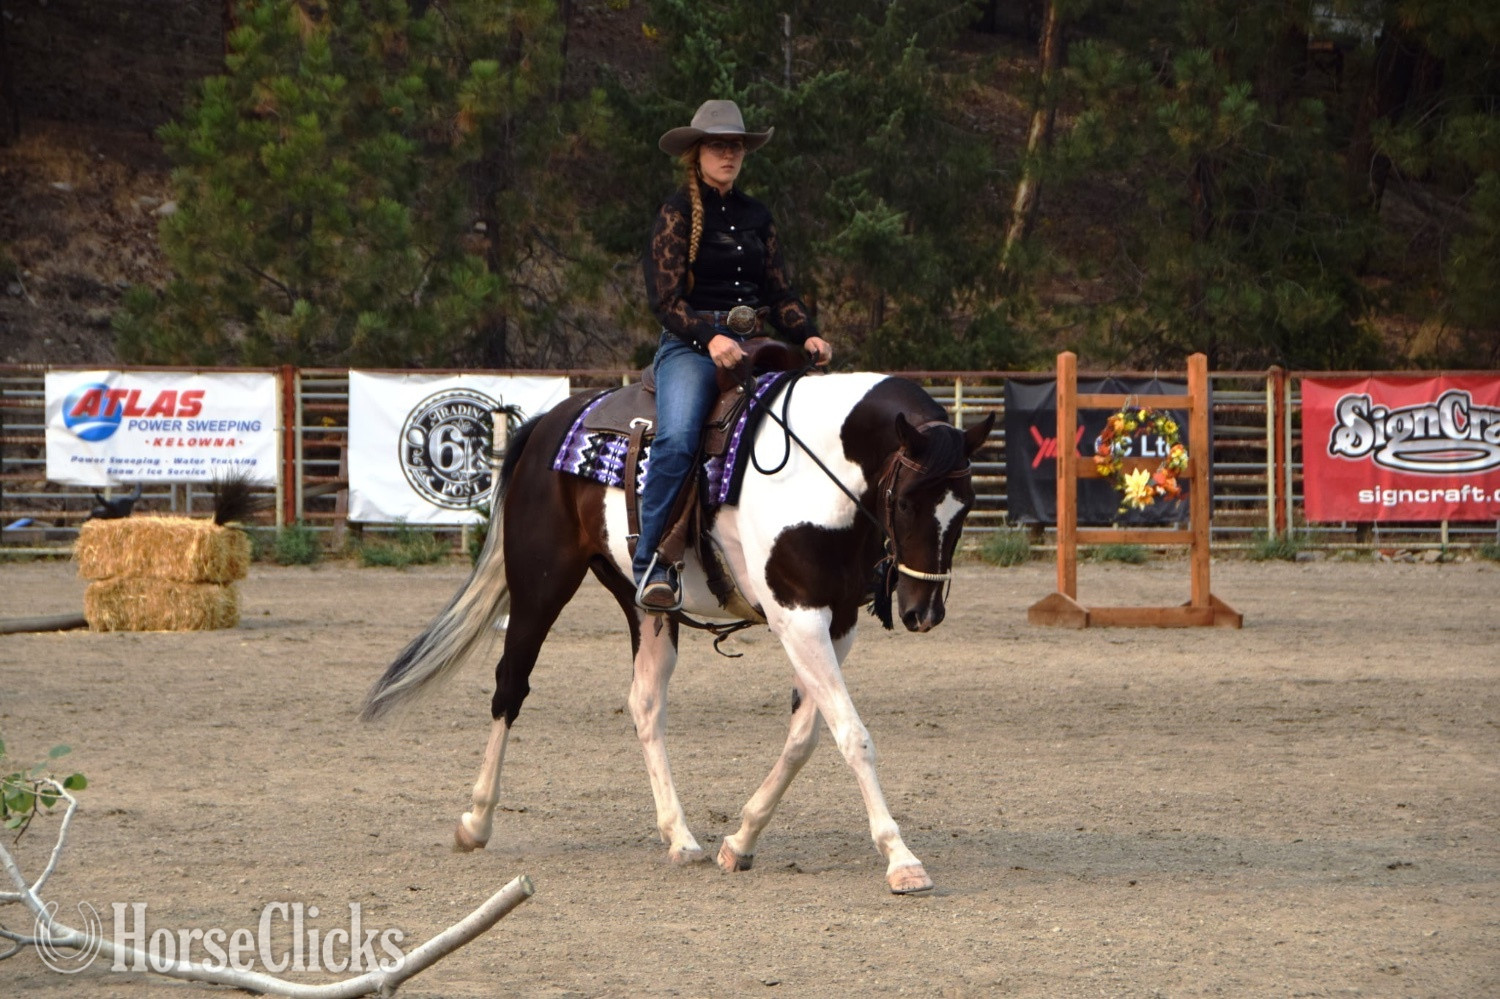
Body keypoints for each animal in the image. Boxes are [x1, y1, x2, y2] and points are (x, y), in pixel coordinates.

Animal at [361, 369, 994, 894]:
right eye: (907, 501)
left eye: (966, 507)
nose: (923, 612)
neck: (816, 475)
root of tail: (552, 422)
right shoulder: (797, 615)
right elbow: (852, 735)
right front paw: (901, 858)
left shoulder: (836, 622)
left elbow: (806, 735)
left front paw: (740, 840)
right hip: (541, 586)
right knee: (509, 688)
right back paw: (476, 820)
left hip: (646, 606)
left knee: (644, 702)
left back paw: (680, 836)